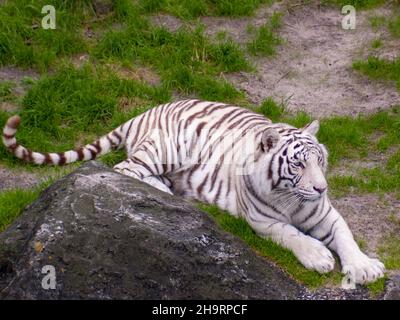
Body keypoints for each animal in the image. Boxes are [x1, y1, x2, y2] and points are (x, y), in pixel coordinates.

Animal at [2, 100, 384, 284]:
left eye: (320, 161)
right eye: (299, 165)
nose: (322, 187)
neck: (290, 197)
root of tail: (146, 111)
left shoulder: (326, 213)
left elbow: (346, 236)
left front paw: (364, 268)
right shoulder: (263, 222)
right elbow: (292, 235)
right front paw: (319, 256)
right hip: (165, 148)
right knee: (125, 168)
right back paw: (165, 191)